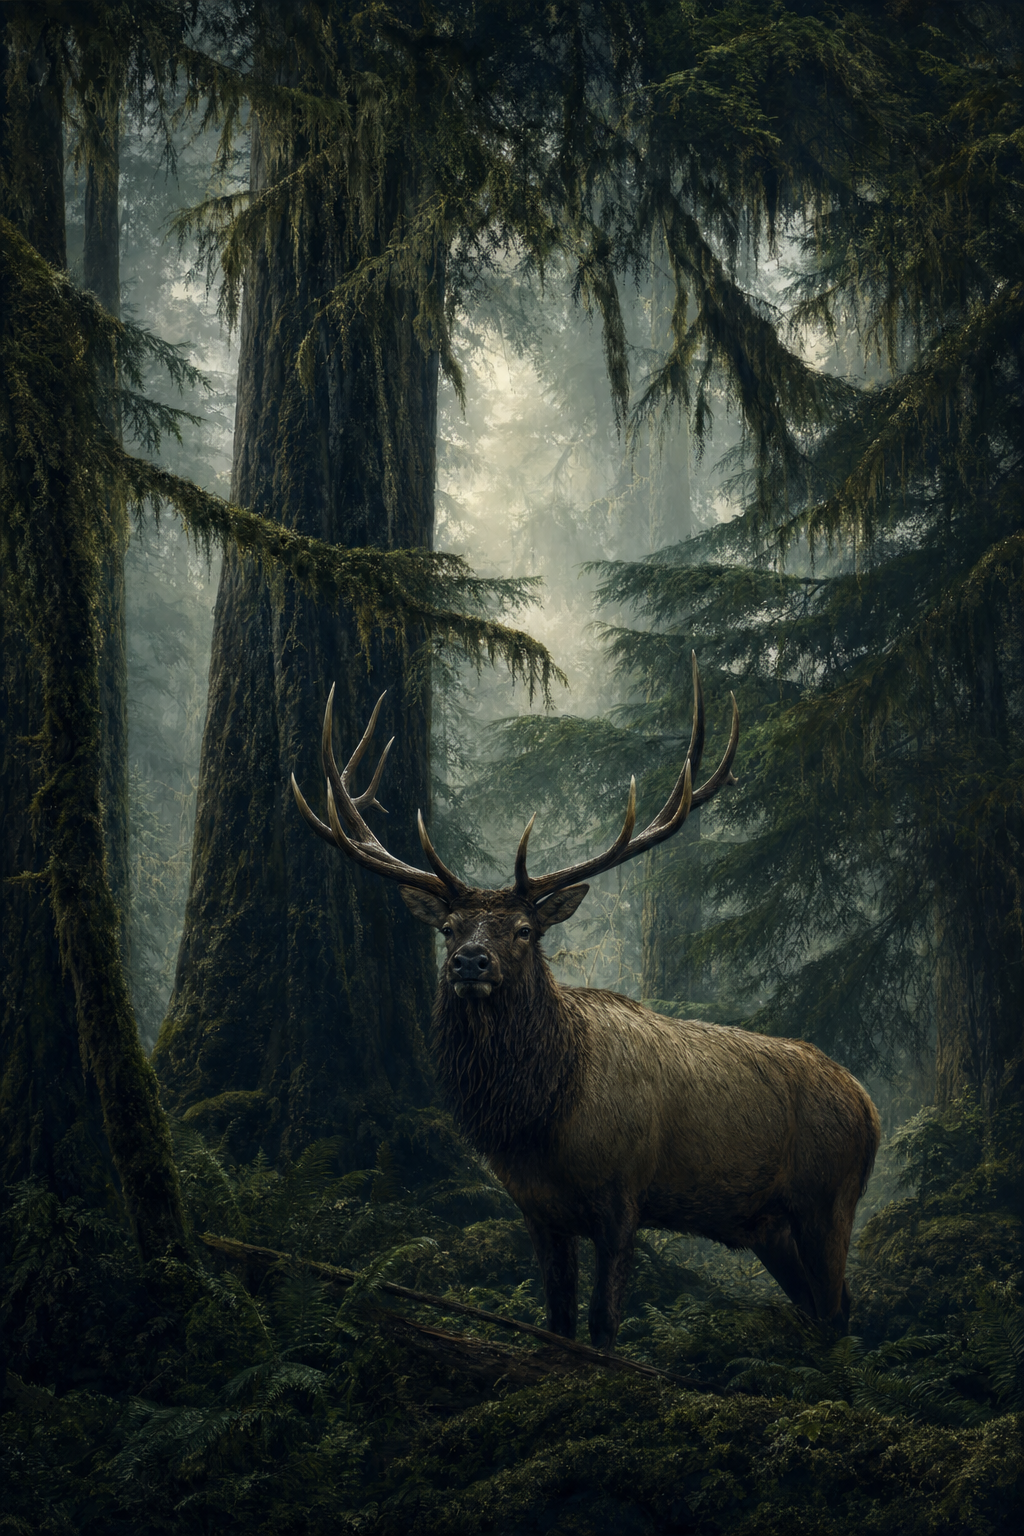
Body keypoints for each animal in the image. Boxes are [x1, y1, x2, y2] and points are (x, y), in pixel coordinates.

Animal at [291, 657, 880, 1350]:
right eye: (450, 928)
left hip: (828, 1198)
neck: (540, 1118)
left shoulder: (624, 1194)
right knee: (822, 1310)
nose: (471, 963)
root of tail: (869, 1107)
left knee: (839, 1311)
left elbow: (604, 1327)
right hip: (772, 1227)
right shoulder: (537, 1208)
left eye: (524, 930)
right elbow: (557, 1323)